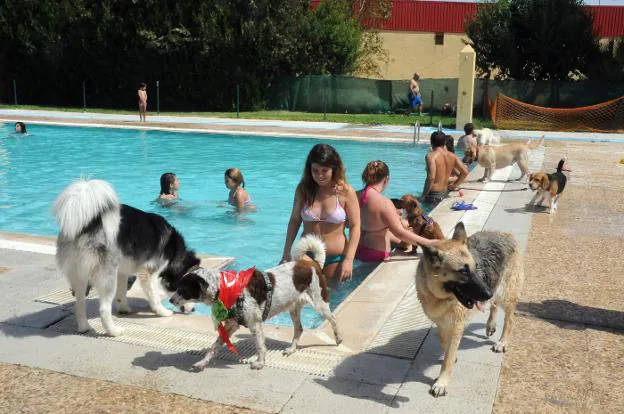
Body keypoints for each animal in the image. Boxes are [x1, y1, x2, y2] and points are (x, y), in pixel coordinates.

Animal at [54, 178, 200, 336]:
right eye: (186, 290)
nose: (193, 309)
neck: (174, 252)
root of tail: (90, 223)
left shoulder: (123, 272)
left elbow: (122, 292)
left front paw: (124, 308)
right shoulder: (148, 272)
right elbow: (154, 295)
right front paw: (162, 311)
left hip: (79, 274)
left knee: (79, 304)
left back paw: (84, 327)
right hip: (107, 277)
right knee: (103, 309)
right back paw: (113, 331)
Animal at [169, 234, 342, 370]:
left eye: (182, 290)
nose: (170, 300)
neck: (224, 288)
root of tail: (312, 263)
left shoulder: (255, 323)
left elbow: (259, 345)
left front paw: (260, 363)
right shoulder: (231, 325)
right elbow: (215, 346)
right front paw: (202, 363)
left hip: (320, 303)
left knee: (333, 319)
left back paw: (338, 338)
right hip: (293, 307)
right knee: (299, 329)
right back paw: (291, 349)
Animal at [416, 222, 524, 396]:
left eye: (476, 267)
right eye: (463, 271)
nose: (488, 293)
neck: (440, 297)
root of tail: (506, 234)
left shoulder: (456, 326)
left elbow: (448, 356)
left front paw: (442, 382)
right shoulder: (442, 324)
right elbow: (444, 343)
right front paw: (451, 356)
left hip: (505, 294)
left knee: (509, 319)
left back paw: (502, 342)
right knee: (494, 305)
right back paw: (491, 324)